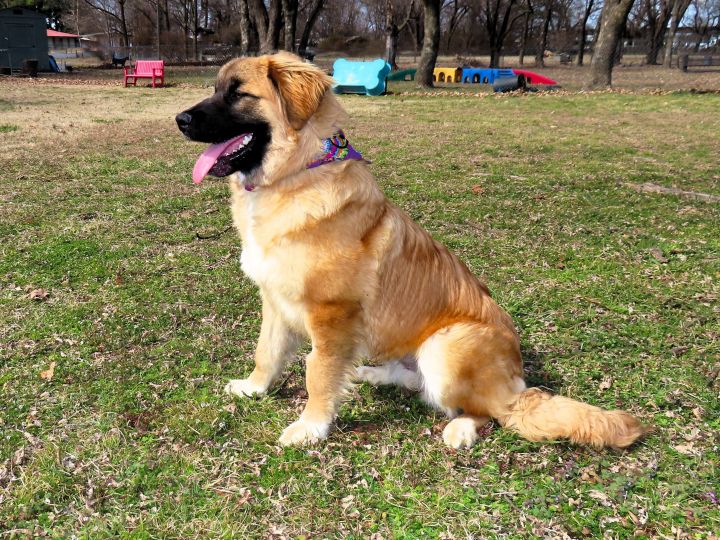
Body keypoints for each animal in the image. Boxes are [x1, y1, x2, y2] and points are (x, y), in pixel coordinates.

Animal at [176, 52, 648, 450]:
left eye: (239, 94)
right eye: (217, 89)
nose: (180, 119)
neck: (296, 174)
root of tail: (517, 380)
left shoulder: (331, 314)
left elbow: (318, 374)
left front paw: (311, 426)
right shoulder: (274, 299)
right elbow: (268, 352)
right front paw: (254, 387)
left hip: (447, 346)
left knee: (492, 411)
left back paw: (460, 428)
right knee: (418, 384)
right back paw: (372, 373)